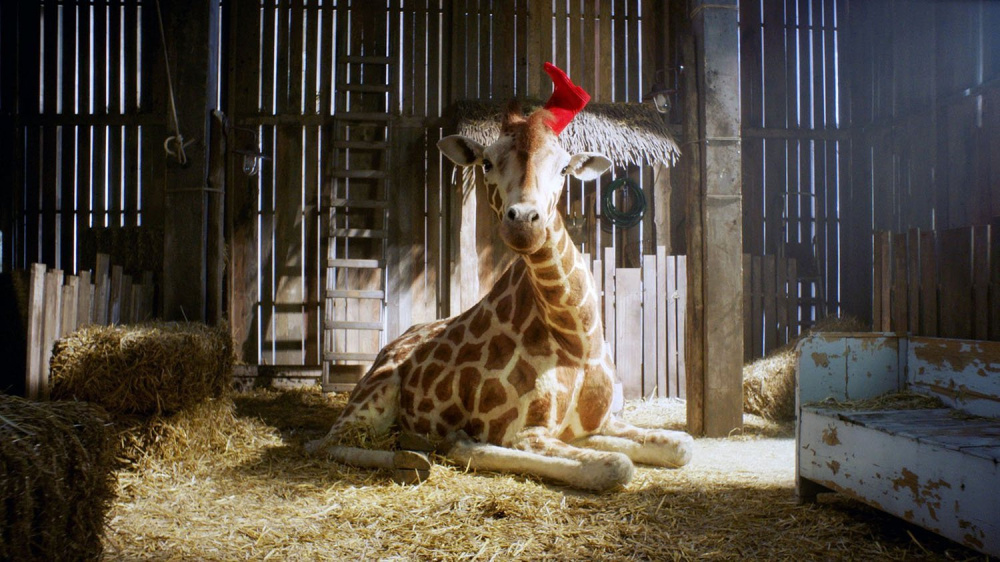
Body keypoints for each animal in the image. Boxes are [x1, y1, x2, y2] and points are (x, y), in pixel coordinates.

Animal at [307, 63, 693, 491]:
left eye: (564, 167)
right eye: (487, 163)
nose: (523, 221)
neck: (576, 336)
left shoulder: (601, 423)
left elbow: (682, 445)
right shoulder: (521, 432)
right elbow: (614, 465)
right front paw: (460, 443)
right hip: (373, 395)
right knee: (325, 443)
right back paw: (413, 458)